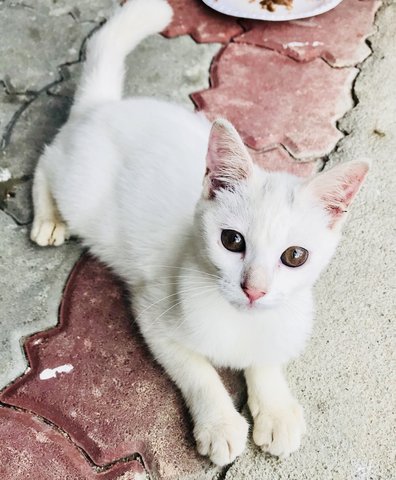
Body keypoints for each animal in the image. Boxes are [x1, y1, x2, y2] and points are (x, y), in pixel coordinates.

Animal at [30, 0, 368, 464]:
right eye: (232, 241)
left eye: (294, 256)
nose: (254, 290)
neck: (240, 323)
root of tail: (103, 106)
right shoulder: (153, 312)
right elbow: (198, 371)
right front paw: (220, 423)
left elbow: (267, 356)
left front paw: (276, 408)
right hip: (80, 191)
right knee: (46, 161)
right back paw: (48, 219)